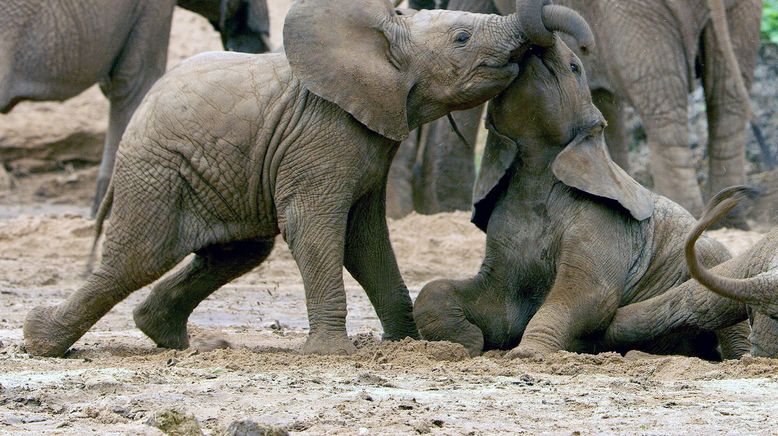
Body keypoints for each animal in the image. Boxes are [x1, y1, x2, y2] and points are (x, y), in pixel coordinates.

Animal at [412, 35, 744, 360]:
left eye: (574, 67)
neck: (536, 170)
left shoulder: (605, 219)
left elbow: (585, 296)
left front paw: (526, 354)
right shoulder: (504, 232)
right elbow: (464, 298)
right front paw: (466, 345)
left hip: (713, 259)